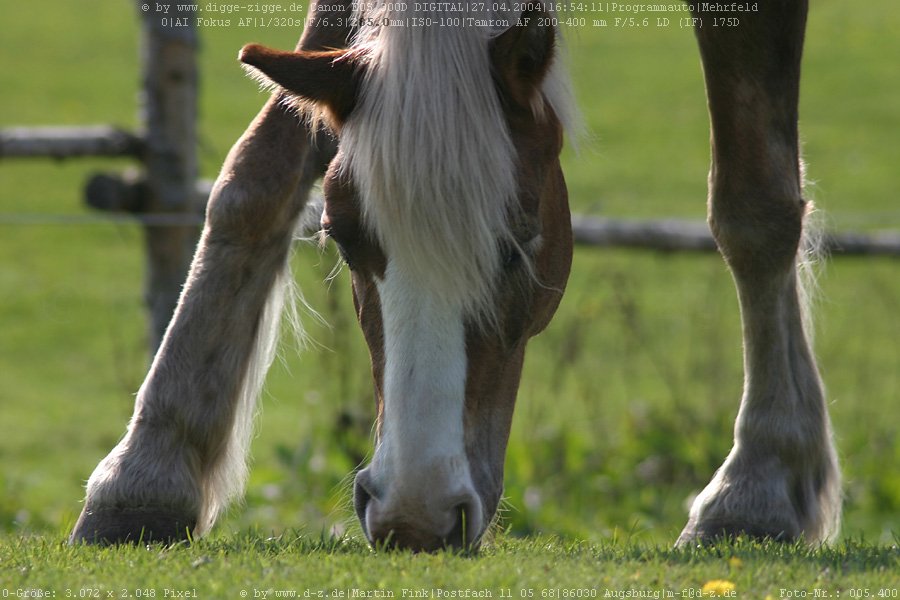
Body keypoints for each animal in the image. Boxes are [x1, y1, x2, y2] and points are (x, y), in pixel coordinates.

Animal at [68, 1, 836, 552]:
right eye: (344, 239)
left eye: (517, 245)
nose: (415, 515)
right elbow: (256, 174)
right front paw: (145, 473)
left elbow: (754, 201)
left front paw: (757, 491)